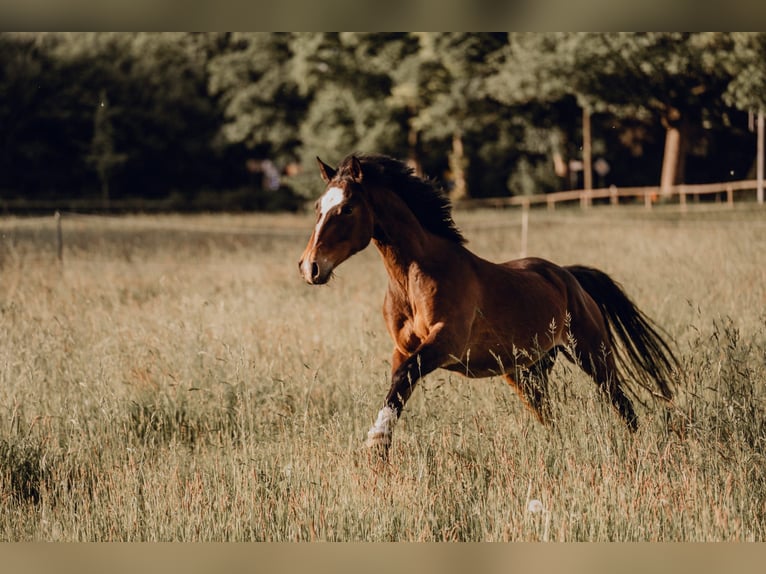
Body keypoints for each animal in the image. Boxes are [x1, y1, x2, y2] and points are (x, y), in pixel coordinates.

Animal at [298, 153, 679, 458]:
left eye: (346, 208)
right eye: (318, 208)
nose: (310, 267)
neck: (414, 278)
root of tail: (567, 276)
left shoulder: (446, 343)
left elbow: (404, 377)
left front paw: (376, 440)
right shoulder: (403, 347)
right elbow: (397, 385)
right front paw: (381, 447)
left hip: (592, 354)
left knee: (620, 402)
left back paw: (637, 445)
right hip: (526, 373)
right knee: (549, 416)